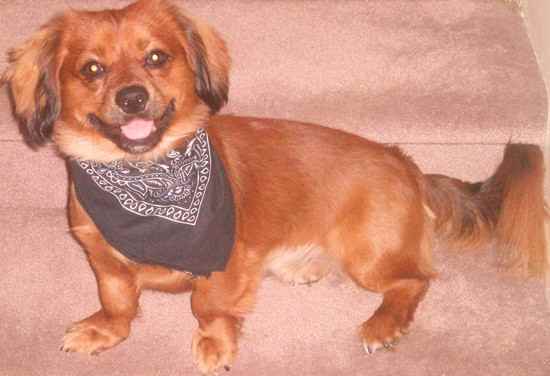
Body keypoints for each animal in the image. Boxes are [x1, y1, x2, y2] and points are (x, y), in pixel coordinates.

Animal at [2, 0, 548, 374]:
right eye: (91, 69)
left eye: (156, 58)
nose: (133, 97)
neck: (146, 180)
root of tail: (404, 162)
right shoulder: (104, 261)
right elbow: (120, 302)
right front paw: (106, 330)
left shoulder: (224, 256)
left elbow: (208, 305)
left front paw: (216, 342)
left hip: (367, 255)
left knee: (414, 281)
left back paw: (383, 324)